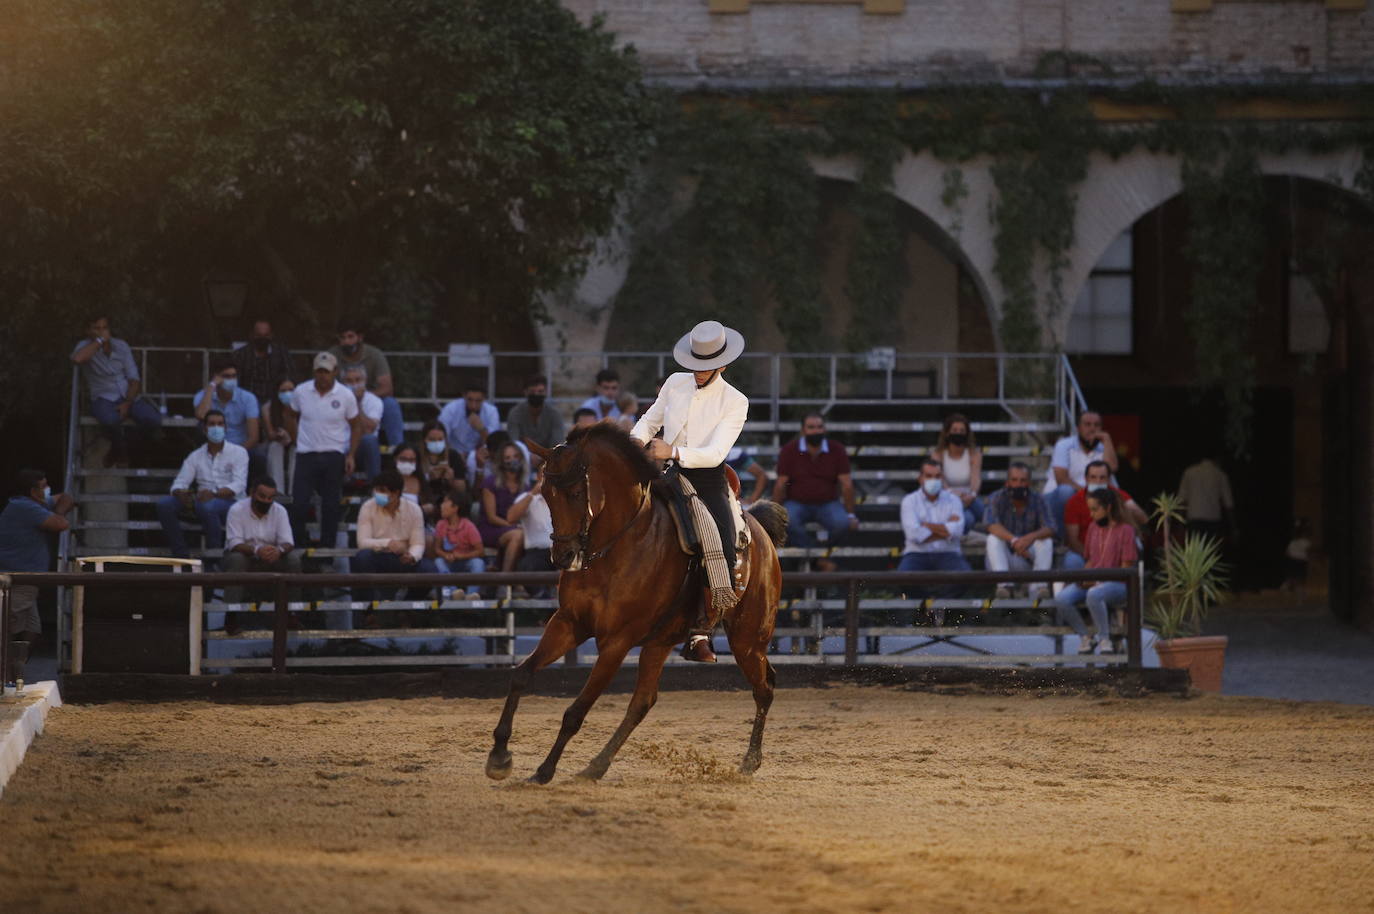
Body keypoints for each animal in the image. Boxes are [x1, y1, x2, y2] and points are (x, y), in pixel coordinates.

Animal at [483, 423, 785, 786]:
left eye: (575, 492)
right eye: (544, 492)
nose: (564, 556)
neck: (619, 545)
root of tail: (760, 533)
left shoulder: (616, 642)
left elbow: (576, 711)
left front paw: (544, 770)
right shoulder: (568, 624)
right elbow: (520, 675)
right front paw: (499, 756)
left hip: (747, 641)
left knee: (764, 688)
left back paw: (750, 761)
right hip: (660, 643)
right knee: (643, 702)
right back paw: (596, 765)